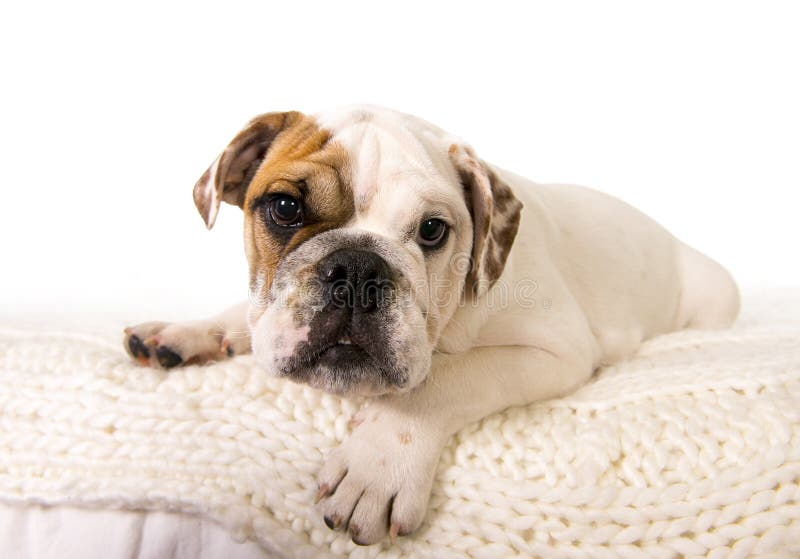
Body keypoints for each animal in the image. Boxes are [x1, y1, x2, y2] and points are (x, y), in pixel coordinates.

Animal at [122, 106, 740, 548]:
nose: (357, 268)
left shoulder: (552, 351)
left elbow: (443, 381)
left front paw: (377, 464)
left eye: (432, 231)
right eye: (284, 207)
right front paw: (189, 331)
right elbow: (248, 315)